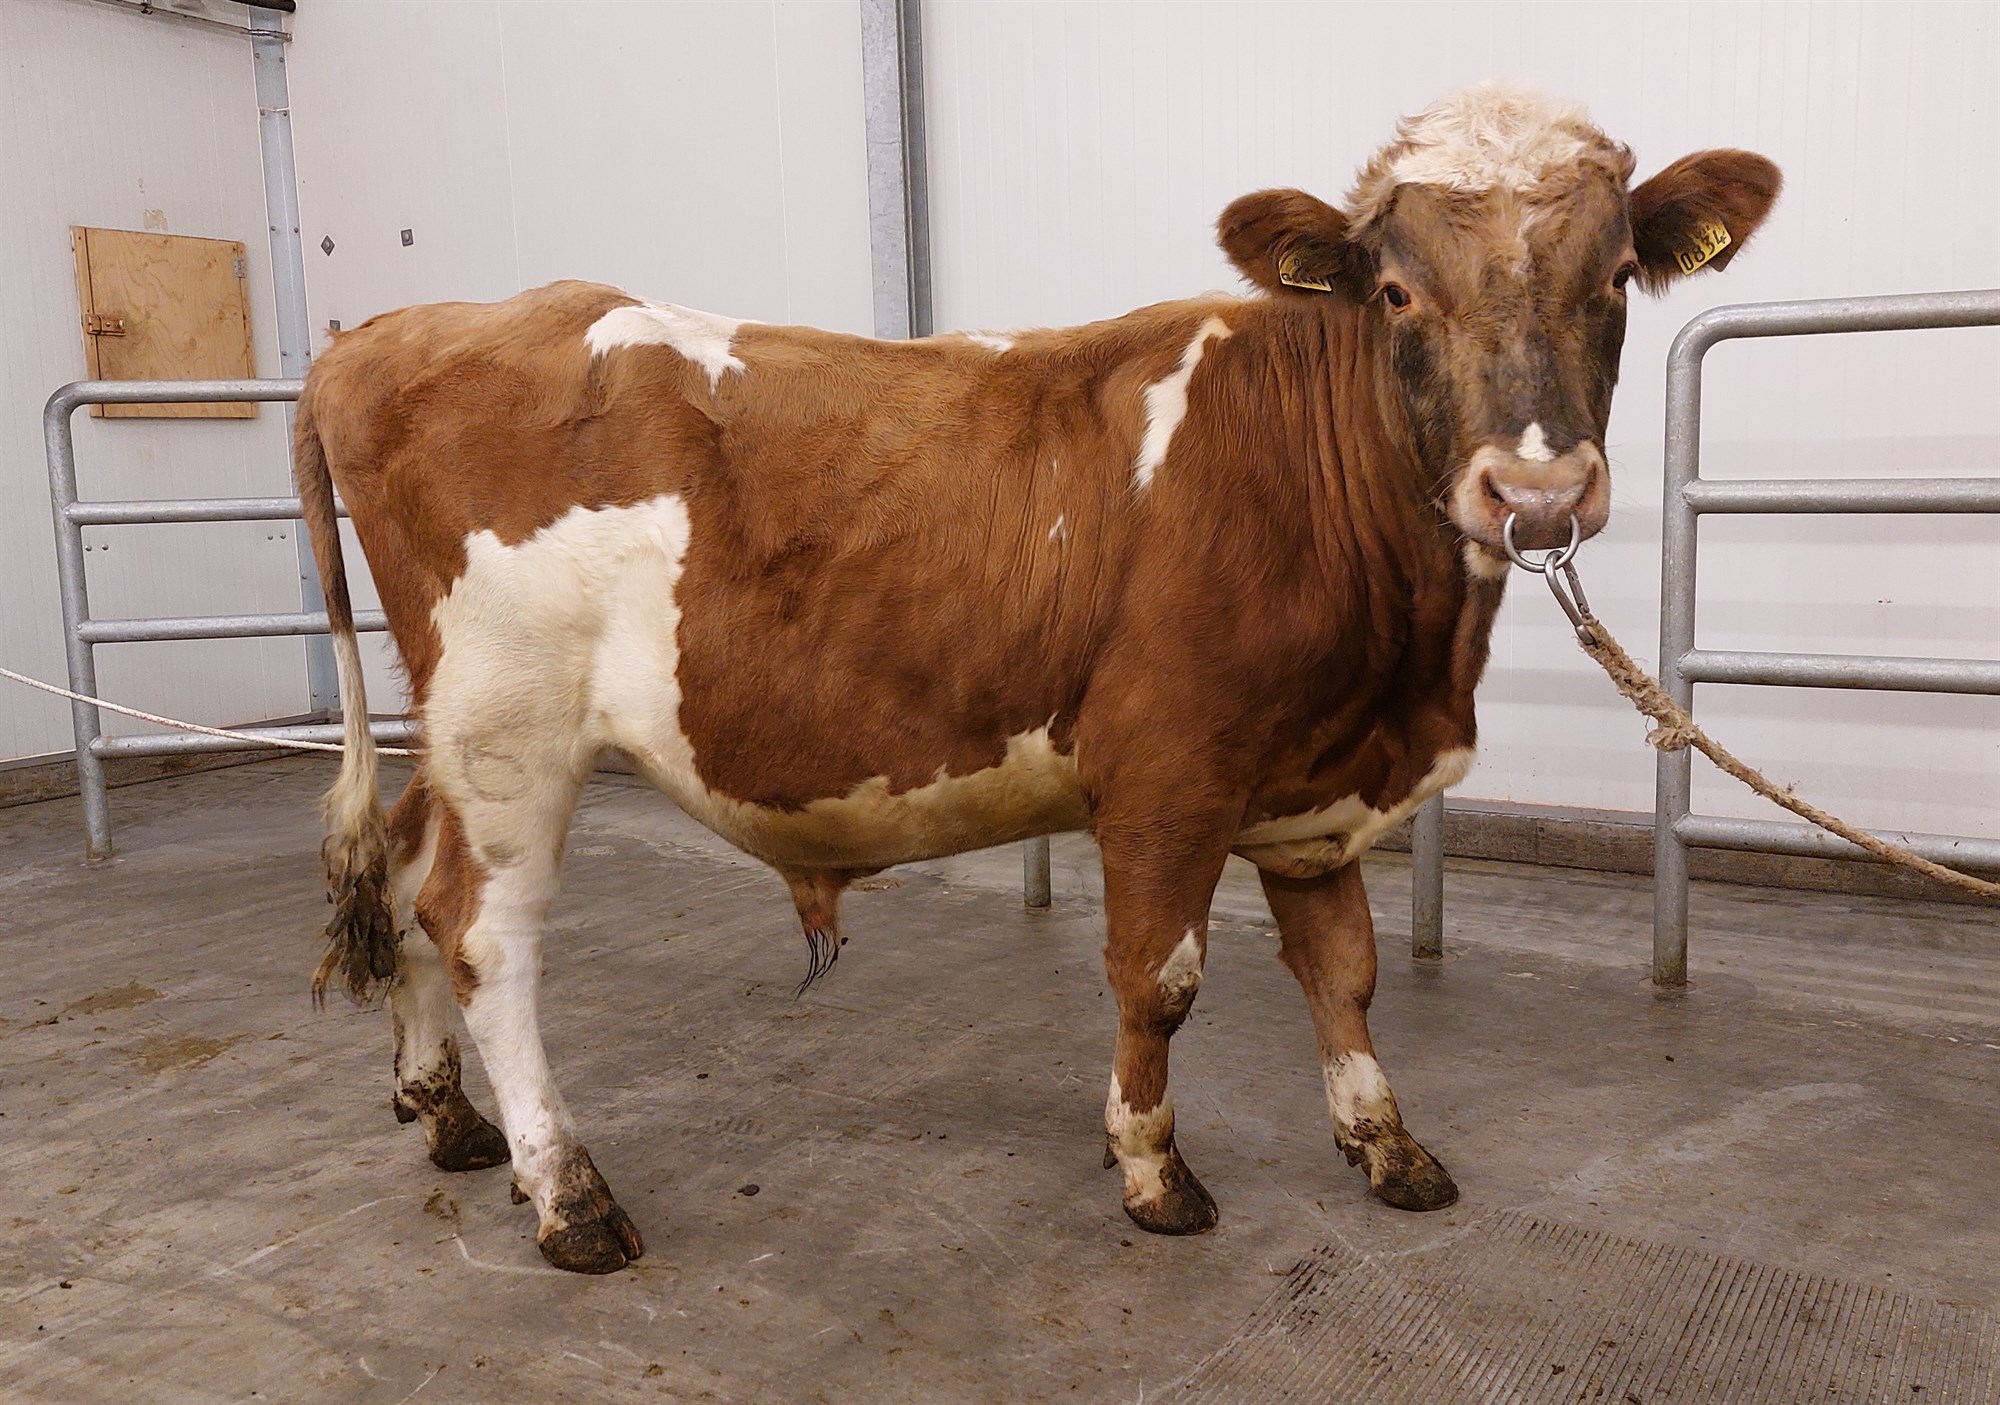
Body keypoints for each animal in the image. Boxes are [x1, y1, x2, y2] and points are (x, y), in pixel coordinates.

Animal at [293, 84, 1778, 1273]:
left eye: (1616, 278)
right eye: (1398, 288)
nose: (1536, 492)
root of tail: (385, 329)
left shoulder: (1311, 788)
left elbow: (1344, 971)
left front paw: (1383, 1144)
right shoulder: (1168, 774)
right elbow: (1156, 980)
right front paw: (1154, 1171)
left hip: (456, 730)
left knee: (412, 881)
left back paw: (449, 1116)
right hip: (512, 728)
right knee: (484, 931)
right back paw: (569, 1194)